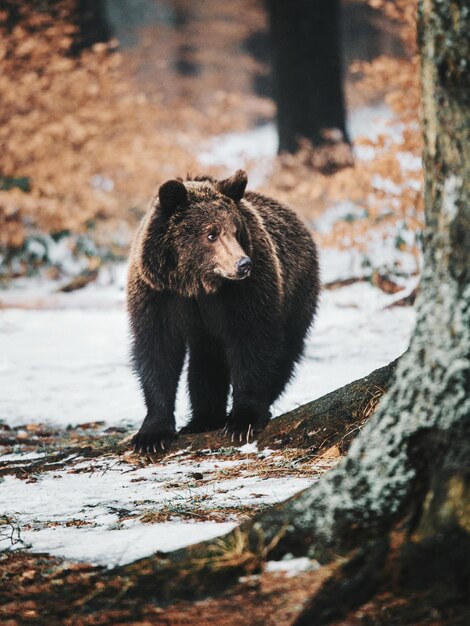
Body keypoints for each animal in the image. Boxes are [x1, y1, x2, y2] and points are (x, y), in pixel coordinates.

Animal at [127, 168, 320, 450]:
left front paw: (242, 420)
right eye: (211, 233)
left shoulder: (246, 293)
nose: (243, 264)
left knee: (285, 353)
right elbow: (158, 351)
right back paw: (202, 419)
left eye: (236, 231)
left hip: (297, 293)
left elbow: (253, 342)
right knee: (207, 361)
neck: (198, 284)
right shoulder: (159, 294)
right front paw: (152, 434)